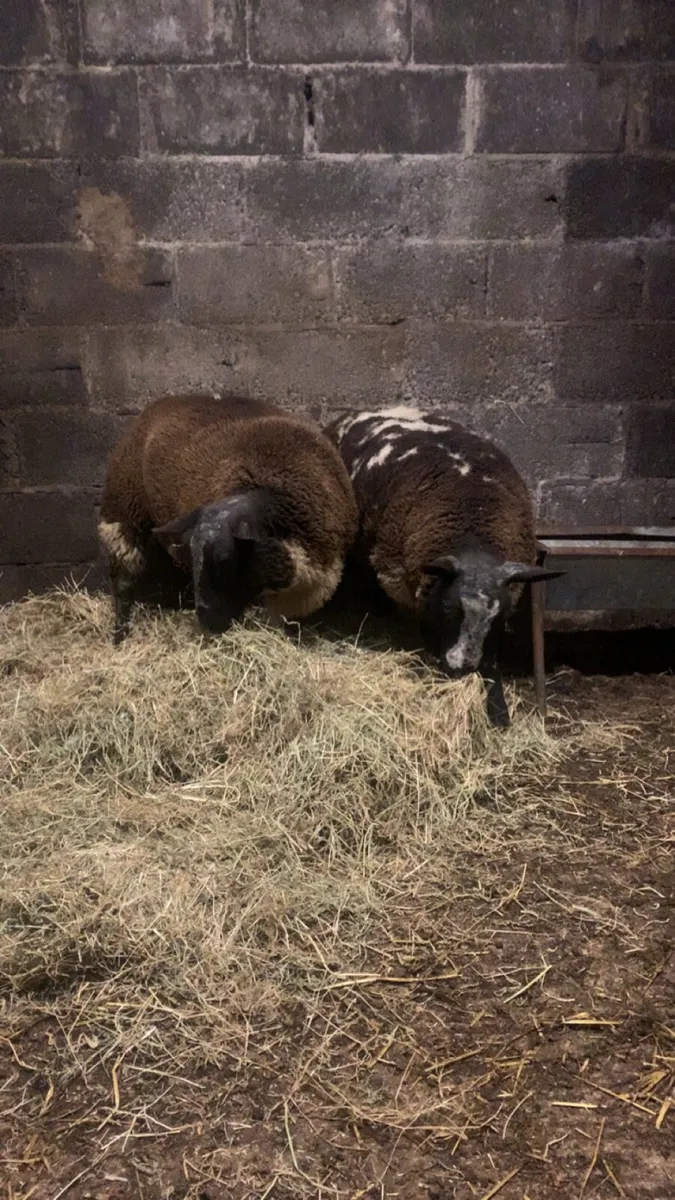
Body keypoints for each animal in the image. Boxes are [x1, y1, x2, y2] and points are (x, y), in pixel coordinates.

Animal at [99, 394, 358, 644]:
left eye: (225, 560)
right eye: (193, 554)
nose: (206, 621)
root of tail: (160, 404)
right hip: (123, 512)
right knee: (123, 580)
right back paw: (120, 634)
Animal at [326, 405, 561, 727]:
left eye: (498, 617)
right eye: (450, 609)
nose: (461, 667)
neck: (472, 523)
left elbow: (491, 661)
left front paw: (498, 711)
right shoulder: (418, 594)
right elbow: (429, 637)